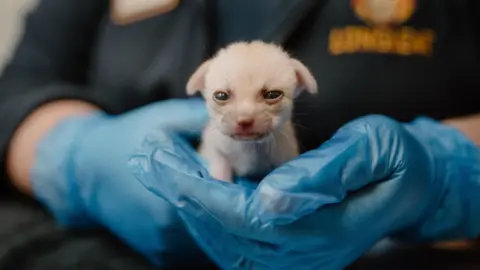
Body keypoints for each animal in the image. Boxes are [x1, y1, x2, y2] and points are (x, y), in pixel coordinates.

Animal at [186, 40, 316, 182]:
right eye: (221, 96)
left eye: (272, 95)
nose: (244, 121)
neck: (249, 147)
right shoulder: (214, 149)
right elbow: (220, 165)